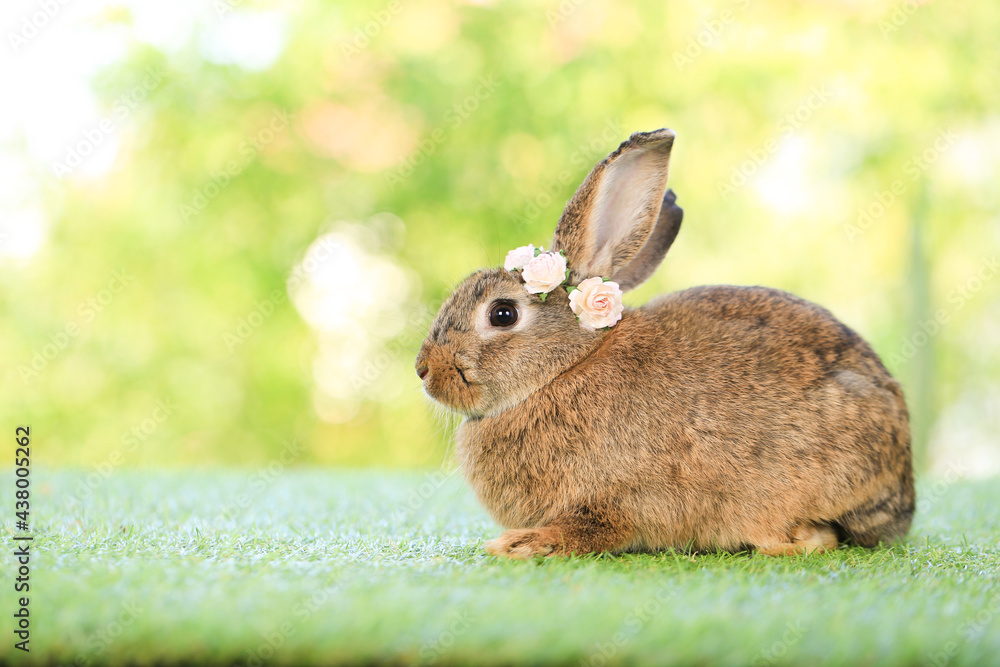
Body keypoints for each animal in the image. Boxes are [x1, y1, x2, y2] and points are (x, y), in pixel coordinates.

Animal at [415, 128, 914, 559]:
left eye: (502, 314)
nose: (424, 370)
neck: (563, 369)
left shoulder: (618, 501)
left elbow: (590, 529)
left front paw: (522, 544)